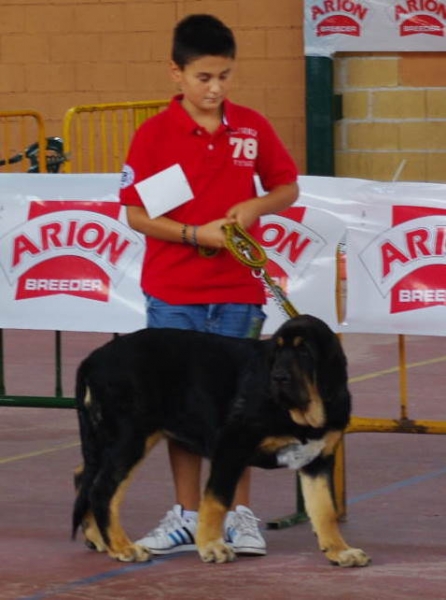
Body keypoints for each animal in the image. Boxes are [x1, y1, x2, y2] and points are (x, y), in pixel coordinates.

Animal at [72, 314, 370, 568]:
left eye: (305, 351)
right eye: (278, 352)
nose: (278, 378)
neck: (303, 415)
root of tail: (93, 359)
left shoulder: (316, 462)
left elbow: (325, 510)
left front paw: (340, 551)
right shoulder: (231, 445)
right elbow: (217, 500)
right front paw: (211, 546)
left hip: (108, 438)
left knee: (83, 476)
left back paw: (99, 538)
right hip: (130, 437)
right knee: (102, 489)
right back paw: (123, 547)